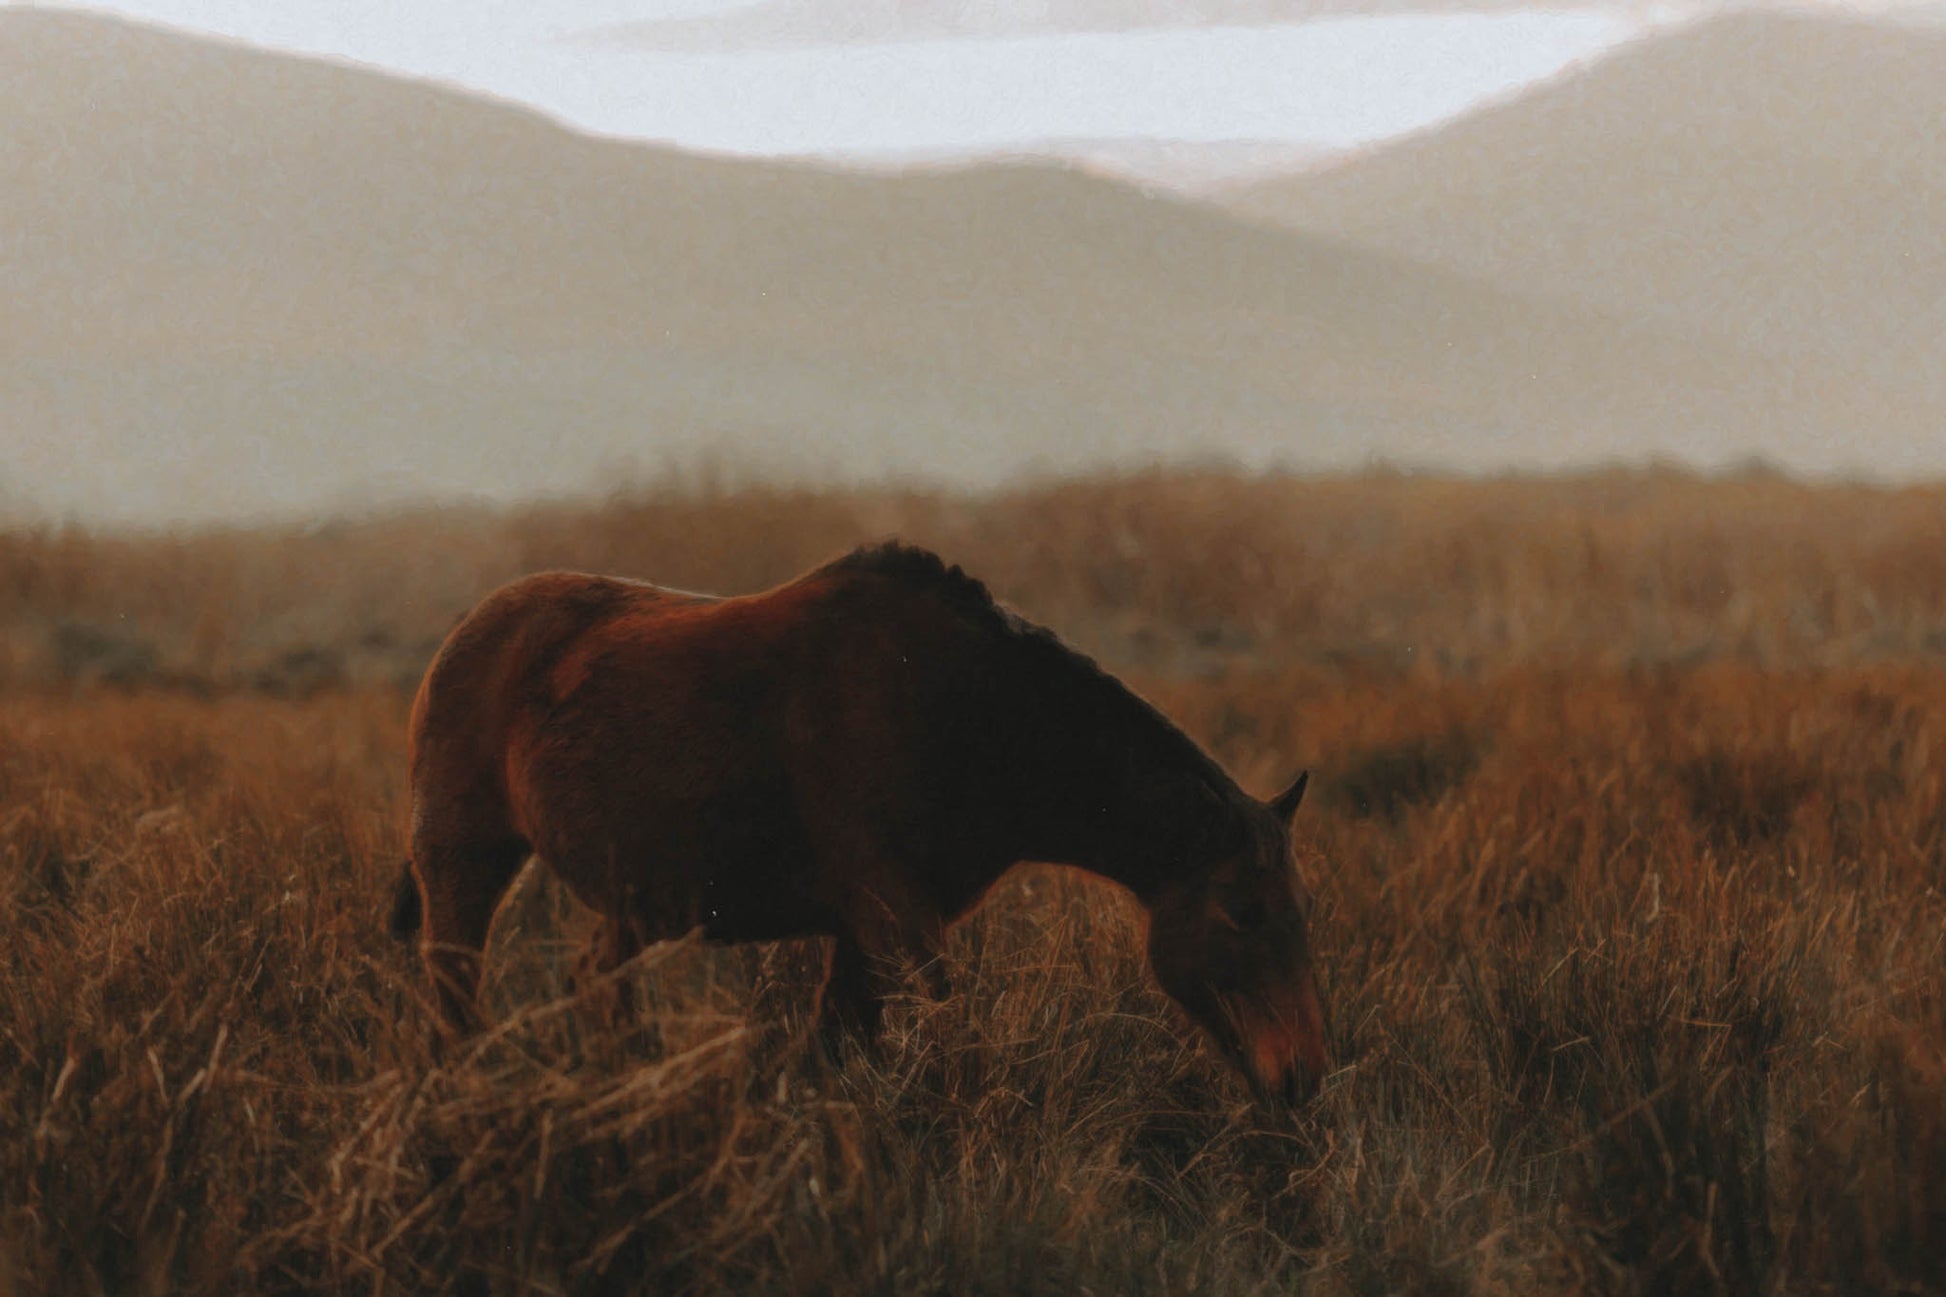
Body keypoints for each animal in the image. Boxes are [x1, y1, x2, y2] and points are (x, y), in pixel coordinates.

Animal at [389, 542, 1330, 1104]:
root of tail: (462, 634)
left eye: (1303, 911)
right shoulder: (893, 917)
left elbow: (833, 1053)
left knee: (594, 985)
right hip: (463, 862)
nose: (1303, 1075)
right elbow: (943, 1049)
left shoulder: (868, 926)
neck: (966, 714)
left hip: (638, 903)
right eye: (1244, 912)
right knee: (452, 999)